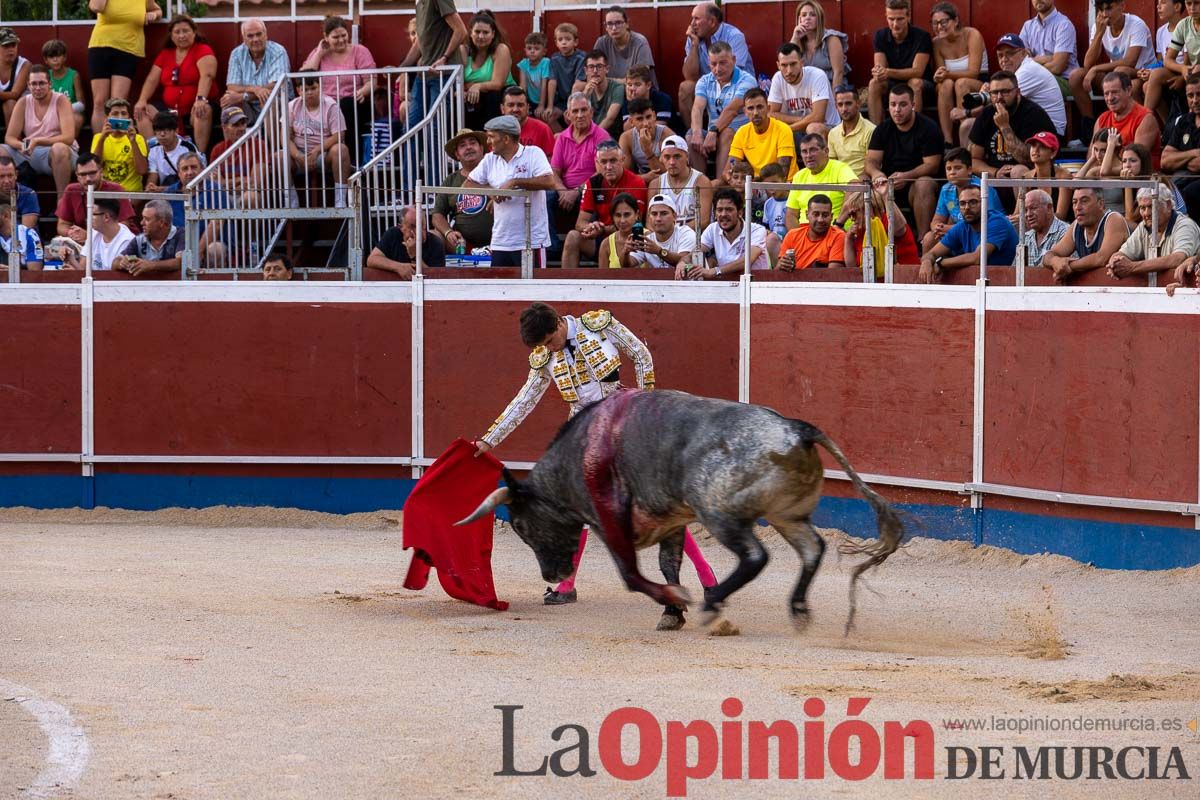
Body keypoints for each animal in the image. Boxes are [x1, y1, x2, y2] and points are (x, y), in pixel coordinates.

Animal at [458, 388, 902, 633]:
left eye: (520, 525)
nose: (551, 576)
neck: (577, 455)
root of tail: (797, 429)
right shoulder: (670, 520)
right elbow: (668, 564)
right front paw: (671, 612)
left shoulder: (608, 518)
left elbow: (632, 574)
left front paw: (677, 600)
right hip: (787, 515)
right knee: (811, 550)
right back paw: (797, 609)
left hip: (719, 512)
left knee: (755, 556)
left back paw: (713, 603)